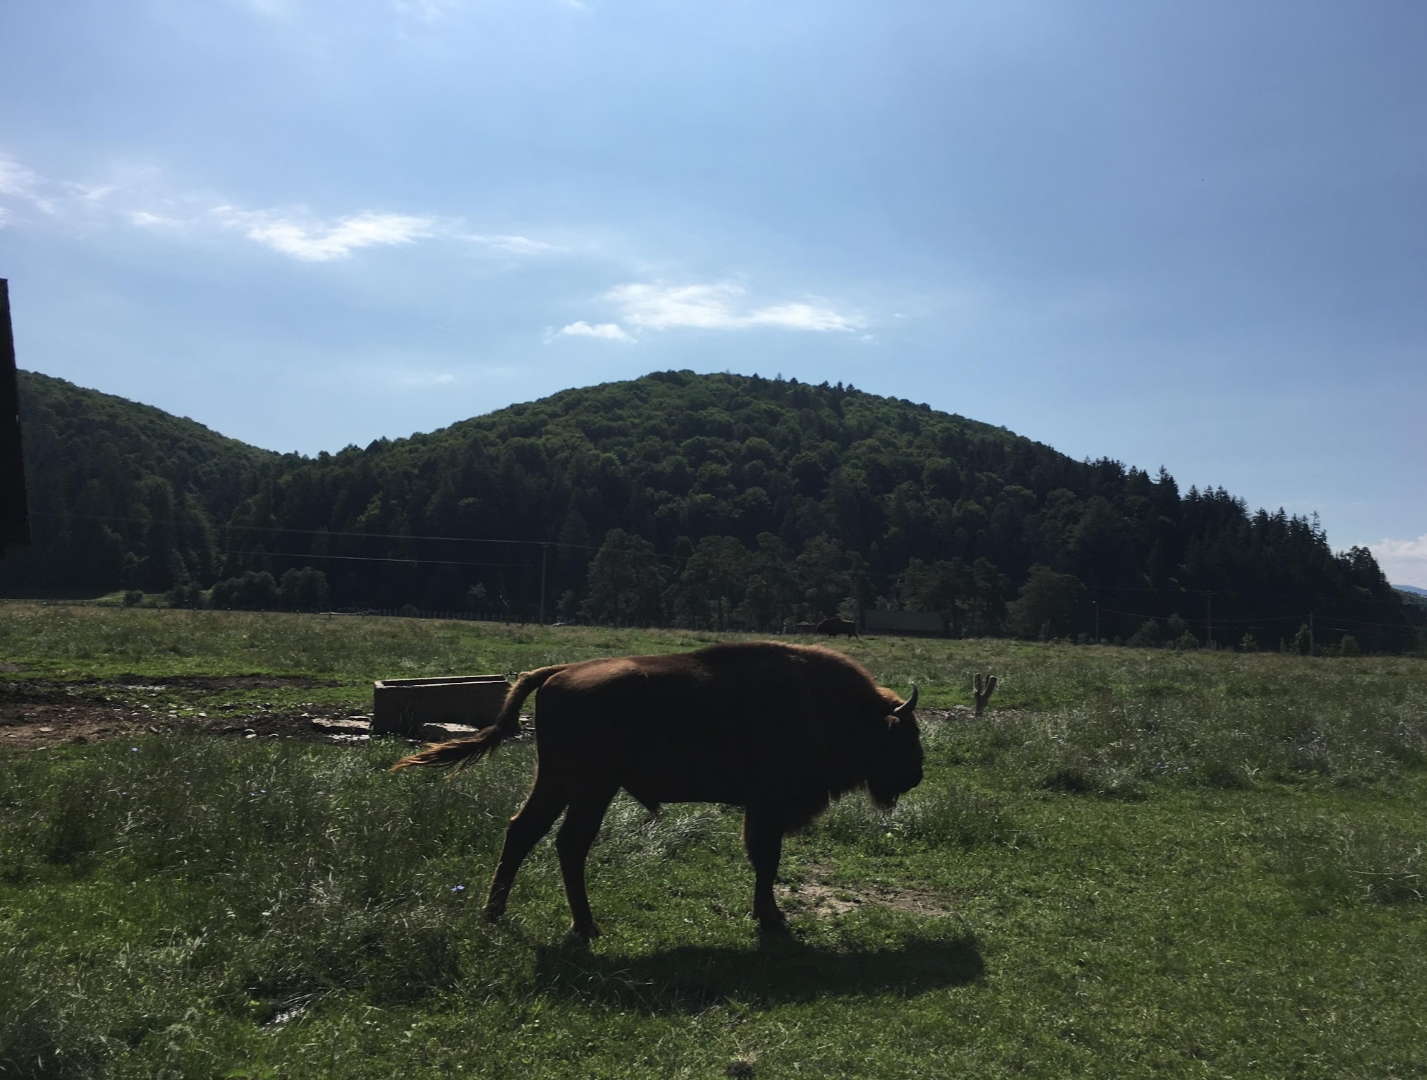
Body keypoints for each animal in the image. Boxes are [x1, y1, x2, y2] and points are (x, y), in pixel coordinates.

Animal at [392, 642, 922, 938]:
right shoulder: (767, 806)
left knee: (524, 831)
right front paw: (772, 918)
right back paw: (585, 926)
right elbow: (767, 859)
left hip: (557, 782)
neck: (833, 706)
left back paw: (497, 913)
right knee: (569, 844)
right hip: (592, 788)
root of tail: (558, 672)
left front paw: (766, 915)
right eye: (905, 735)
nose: (916, 774)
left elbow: (763, 860)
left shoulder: (761, 809)